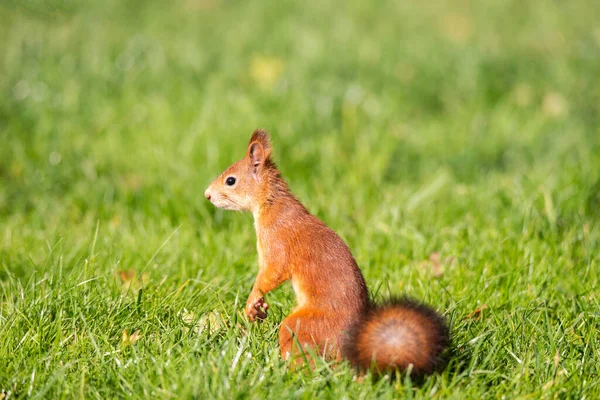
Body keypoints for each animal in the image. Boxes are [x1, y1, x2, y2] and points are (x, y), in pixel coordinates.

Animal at [204, 129, 448, 376]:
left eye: (231, 180)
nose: (207, 195)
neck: (272, 204)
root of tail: (345, 348)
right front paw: (259, 308)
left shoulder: (277, 243)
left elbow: (272, 273)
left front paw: (251, 300)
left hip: (305, 325)